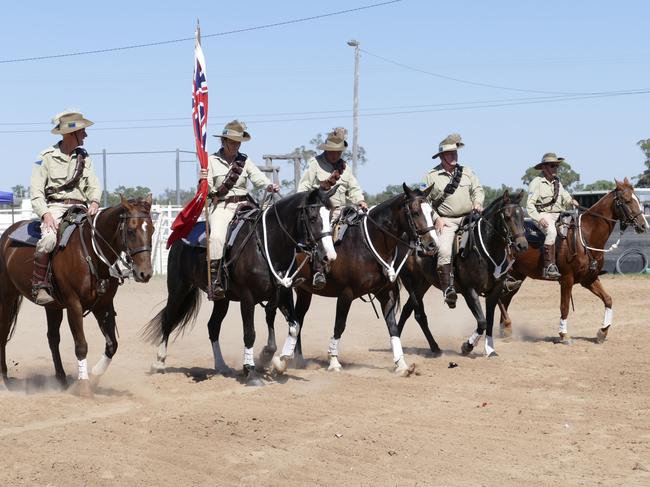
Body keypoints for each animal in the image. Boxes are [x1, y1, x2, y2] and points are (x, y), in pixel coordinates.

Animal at [0, 195, 153, 396]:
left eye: (152, 230)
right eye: (131, 230)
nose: (145, 273)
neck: (91, 251)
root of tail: (6, 235)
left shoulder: (104, 306)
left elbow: (112, 345)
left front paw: (94, 376)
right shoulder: (74, 305)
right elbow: (81, 346)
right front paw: (84, 385)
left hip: (52, 306)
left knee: (52, 338)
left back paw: (61, 378)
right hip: (7, 297)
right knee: (3, 333)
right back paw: (4, 380)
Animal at [142, 189, 334, 386]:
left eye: (331, 216)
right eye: (312, 217)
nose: (328, 256)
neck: (266, 245)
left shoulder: (284, 294)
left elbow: (295, 326)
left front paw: (279, 363)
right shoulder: (247, 298)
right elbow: (249, 333)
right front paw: (251, 372)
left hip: (221, 300)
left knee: (213, 326)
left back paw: (221, 365)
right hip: (178, 290)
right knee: (168, 319)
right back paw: (159, 362)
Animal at [268, 184, 436, 378]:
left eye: (432, 212)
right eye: (415, 212)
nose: (432, 244)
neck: (367, 244)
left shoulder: (385, 294)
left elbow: (392, 327)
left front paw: (401, 365)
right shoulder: (346, 294)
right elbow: (339, 326)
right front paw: (334, 362)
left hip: (305, 292)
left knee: (299, 319)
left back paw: (298, 359)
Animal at [394, 191, 528, 358]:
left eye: (522, 215)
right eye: (507, 216)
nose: (522, 245)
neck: (485, 250)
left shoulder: (494, 292)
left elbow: (489, 321)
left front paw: (490, 350)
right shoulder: (469, 291)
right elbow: (482, 321)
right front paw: (467, 346)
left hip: (422, 285)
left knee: (407, 310)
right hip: (410, 283)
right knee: (419, 315)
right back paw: (432, 347)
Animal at [496, 178, 644, 344]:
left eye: (638, 200)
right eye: (627, 200)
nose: (643, 225)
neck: (585, 236)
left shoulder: (589, 279)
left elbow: (608, 299)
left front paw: (602, 332)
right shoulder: (567, 279)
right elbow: (564, 306)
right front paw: (564, 335)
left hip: (517, 276)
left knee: (505, 298)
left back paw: (505, 330)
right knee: (499, 298)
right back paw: (507, 325)